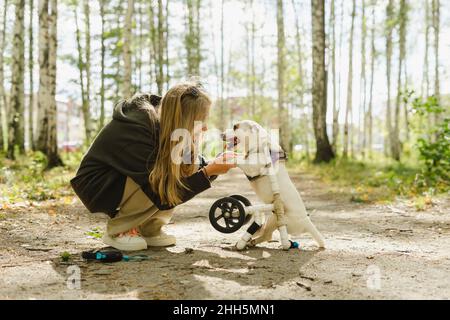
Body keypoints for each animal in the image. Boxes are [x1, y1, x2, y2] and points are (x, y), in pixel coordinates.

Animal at [223, 119, 326, 249]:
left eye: (235, 127)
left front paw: (225, 156)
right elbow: (240, 156)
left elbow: (239, 159)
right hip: (272, 218)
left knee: (267, 235)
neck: (259, 145)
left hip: (277, 220)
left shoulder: (251, 166)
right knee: (263, 232)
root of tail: (307, 223)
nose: (221, 134)